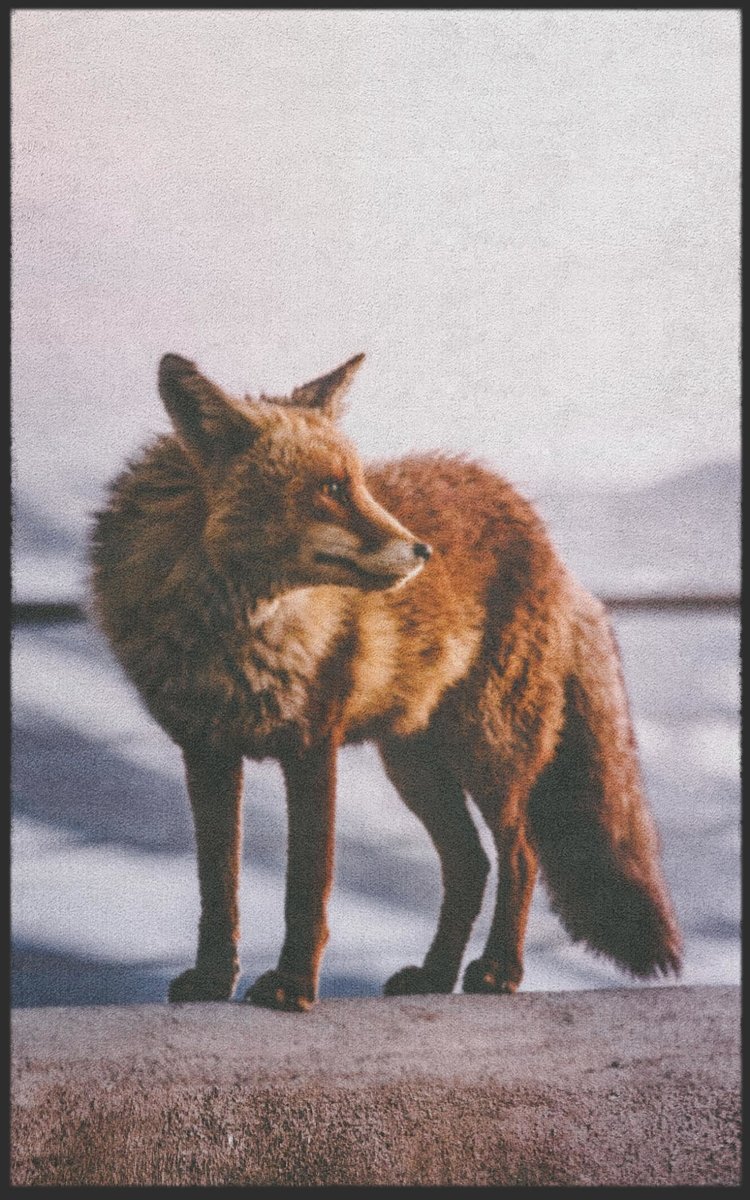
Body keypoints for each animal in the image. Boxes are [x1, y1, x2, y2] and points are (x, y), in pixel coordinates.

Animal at [90, 351, 682, 1011]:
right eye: (330, 488)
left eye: (361, 484)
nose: (423, 551)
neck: (234, 632)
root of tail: (546, 539)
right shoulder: (206, 750)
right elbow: (218, 890)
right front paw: (215, 981)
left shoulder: (312, 745)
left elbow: (306, 889)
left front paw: (293, 987)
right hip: (415, 766)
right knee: (470, 864)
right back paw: (435, 975)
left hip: (491, 752)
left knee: (520, 856)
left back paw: (498, 970)